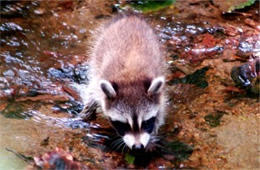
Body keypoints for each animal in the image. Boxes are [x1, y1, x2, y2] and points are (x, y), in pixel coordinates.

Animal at [82, 15, 166, 151]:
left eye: (146, 122)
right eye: (124, 124)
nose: (138, 147)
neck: (130, 77)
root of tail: (131, 17)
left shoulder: (160, 93)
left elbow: (161, 110)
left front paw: (152, 136)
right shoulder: (98, 82)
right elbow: (91, 94)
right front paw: (86, 113)